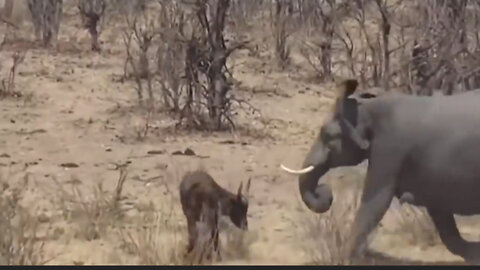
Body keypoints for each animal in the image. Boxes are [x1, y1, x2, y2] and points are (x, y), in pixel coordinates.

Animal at [282, 79, 480, 264]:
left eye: (328, 136)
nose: (324, 190)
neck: (369, 105)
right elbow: (441, 215)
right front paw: (473, 252)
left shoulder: (390, 148)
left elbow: (375, 202)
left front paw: (345, 260)